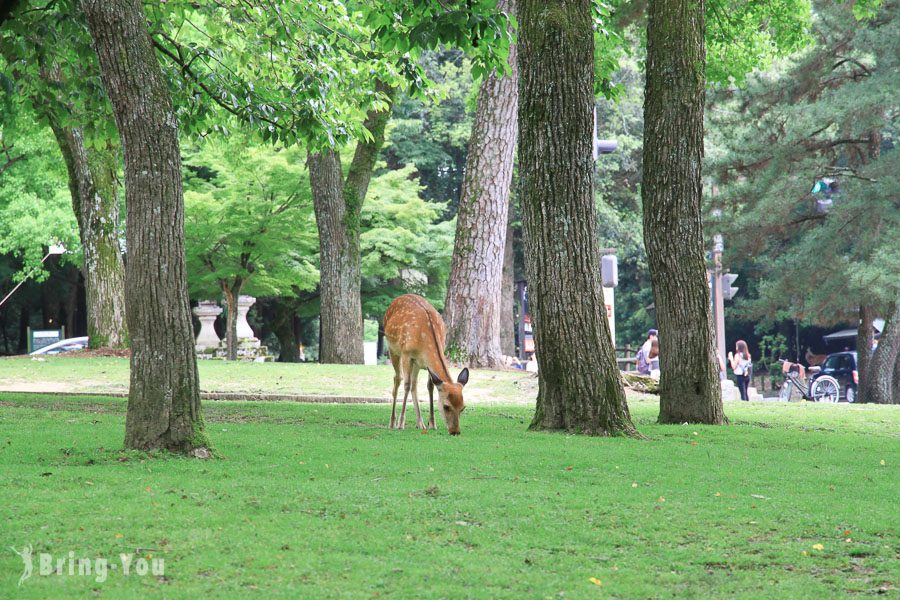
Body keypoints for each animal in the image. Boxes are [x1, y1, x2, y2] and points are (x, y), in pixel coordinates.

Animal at [384, 292, 472, 434]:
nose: (455, 431)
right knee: (398, 379)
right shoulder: (407, 355)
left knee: (414, 384)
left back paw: (420, 423)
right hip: (393, 350)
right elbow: (406, 385)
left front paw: (432, 423)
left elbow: (430, 386)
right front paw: (401, 424)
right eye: (446, 406)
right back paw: (393, 422)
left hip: (416, 364)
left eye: (463, 407)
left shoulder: (425, 363)